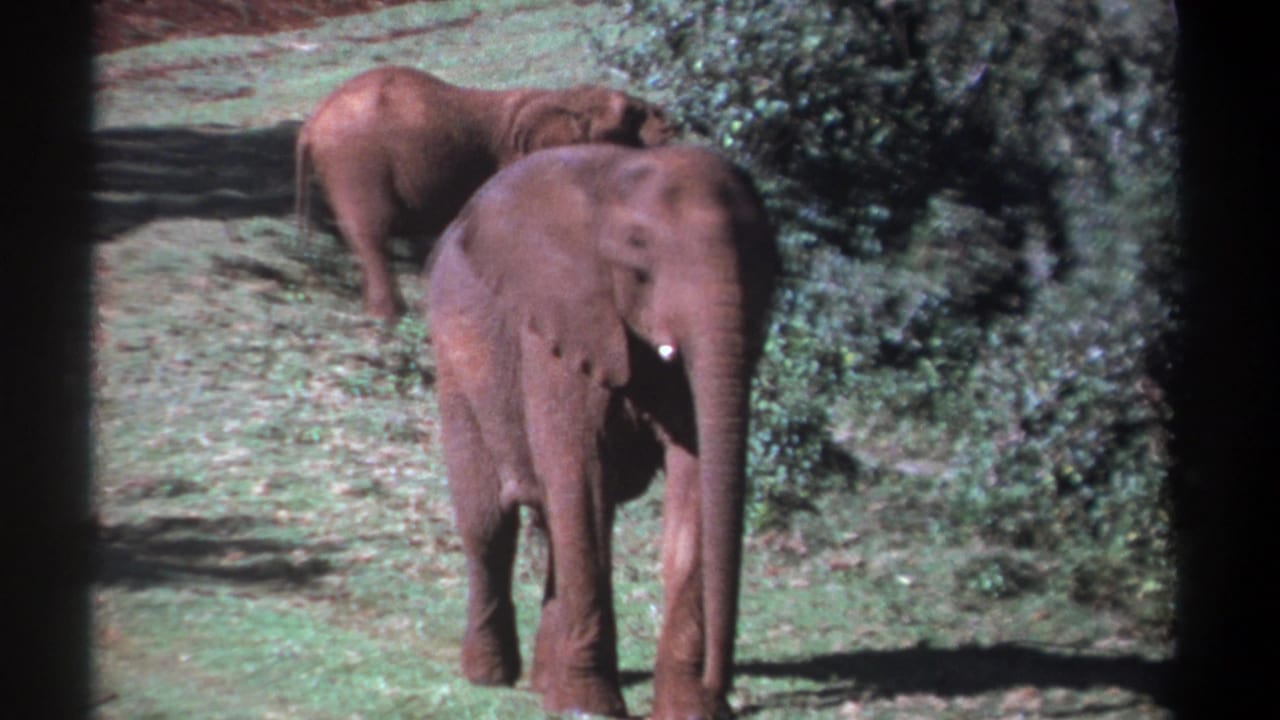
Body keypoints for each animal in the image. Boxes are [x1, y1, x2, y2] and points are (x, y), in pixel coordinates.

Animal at [294, 65, 675, 320]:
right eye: (630, 116)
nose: (669, 122)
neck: (560, 98)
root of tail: (311, 124)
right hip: (356, 163)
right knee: (371, 233)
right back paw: (389, 317)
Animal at [424, 143, 778, 719]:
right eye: (638, 254)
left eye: (762, 261)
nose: (723, 688)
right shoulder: (559, 326)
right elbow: (580, 471)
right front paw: (588, 707)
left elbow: (695, 480)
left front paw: (689, 709)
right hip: (454, 360)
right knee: (490, 524)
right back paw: (490, 677)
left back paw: (544, 684)